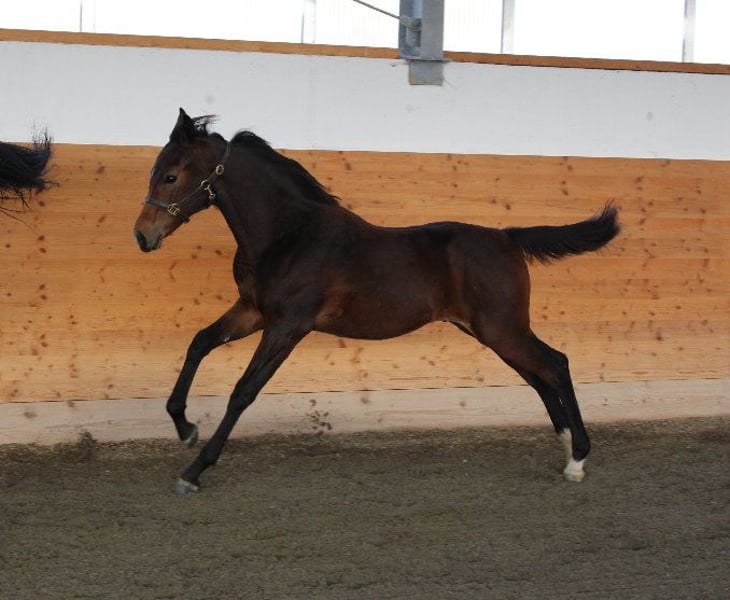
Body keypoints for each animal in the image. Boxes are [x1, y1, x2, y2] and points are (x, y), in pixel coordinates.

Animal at [133, 109, 620, 494]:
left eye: (171, 176)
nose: (142, 235)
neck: (289, 235)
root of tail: (507, 237)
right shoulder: (253, 312)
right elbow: (199, 343)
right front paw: (185, 428)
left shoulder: (288, 324)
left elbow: (243, 391)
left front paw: (193, 470)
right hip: (491, 331)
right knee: (539, 375)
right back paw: (565, 445)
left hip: (503, 328)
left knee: (555, 364)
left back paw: (577, 459)